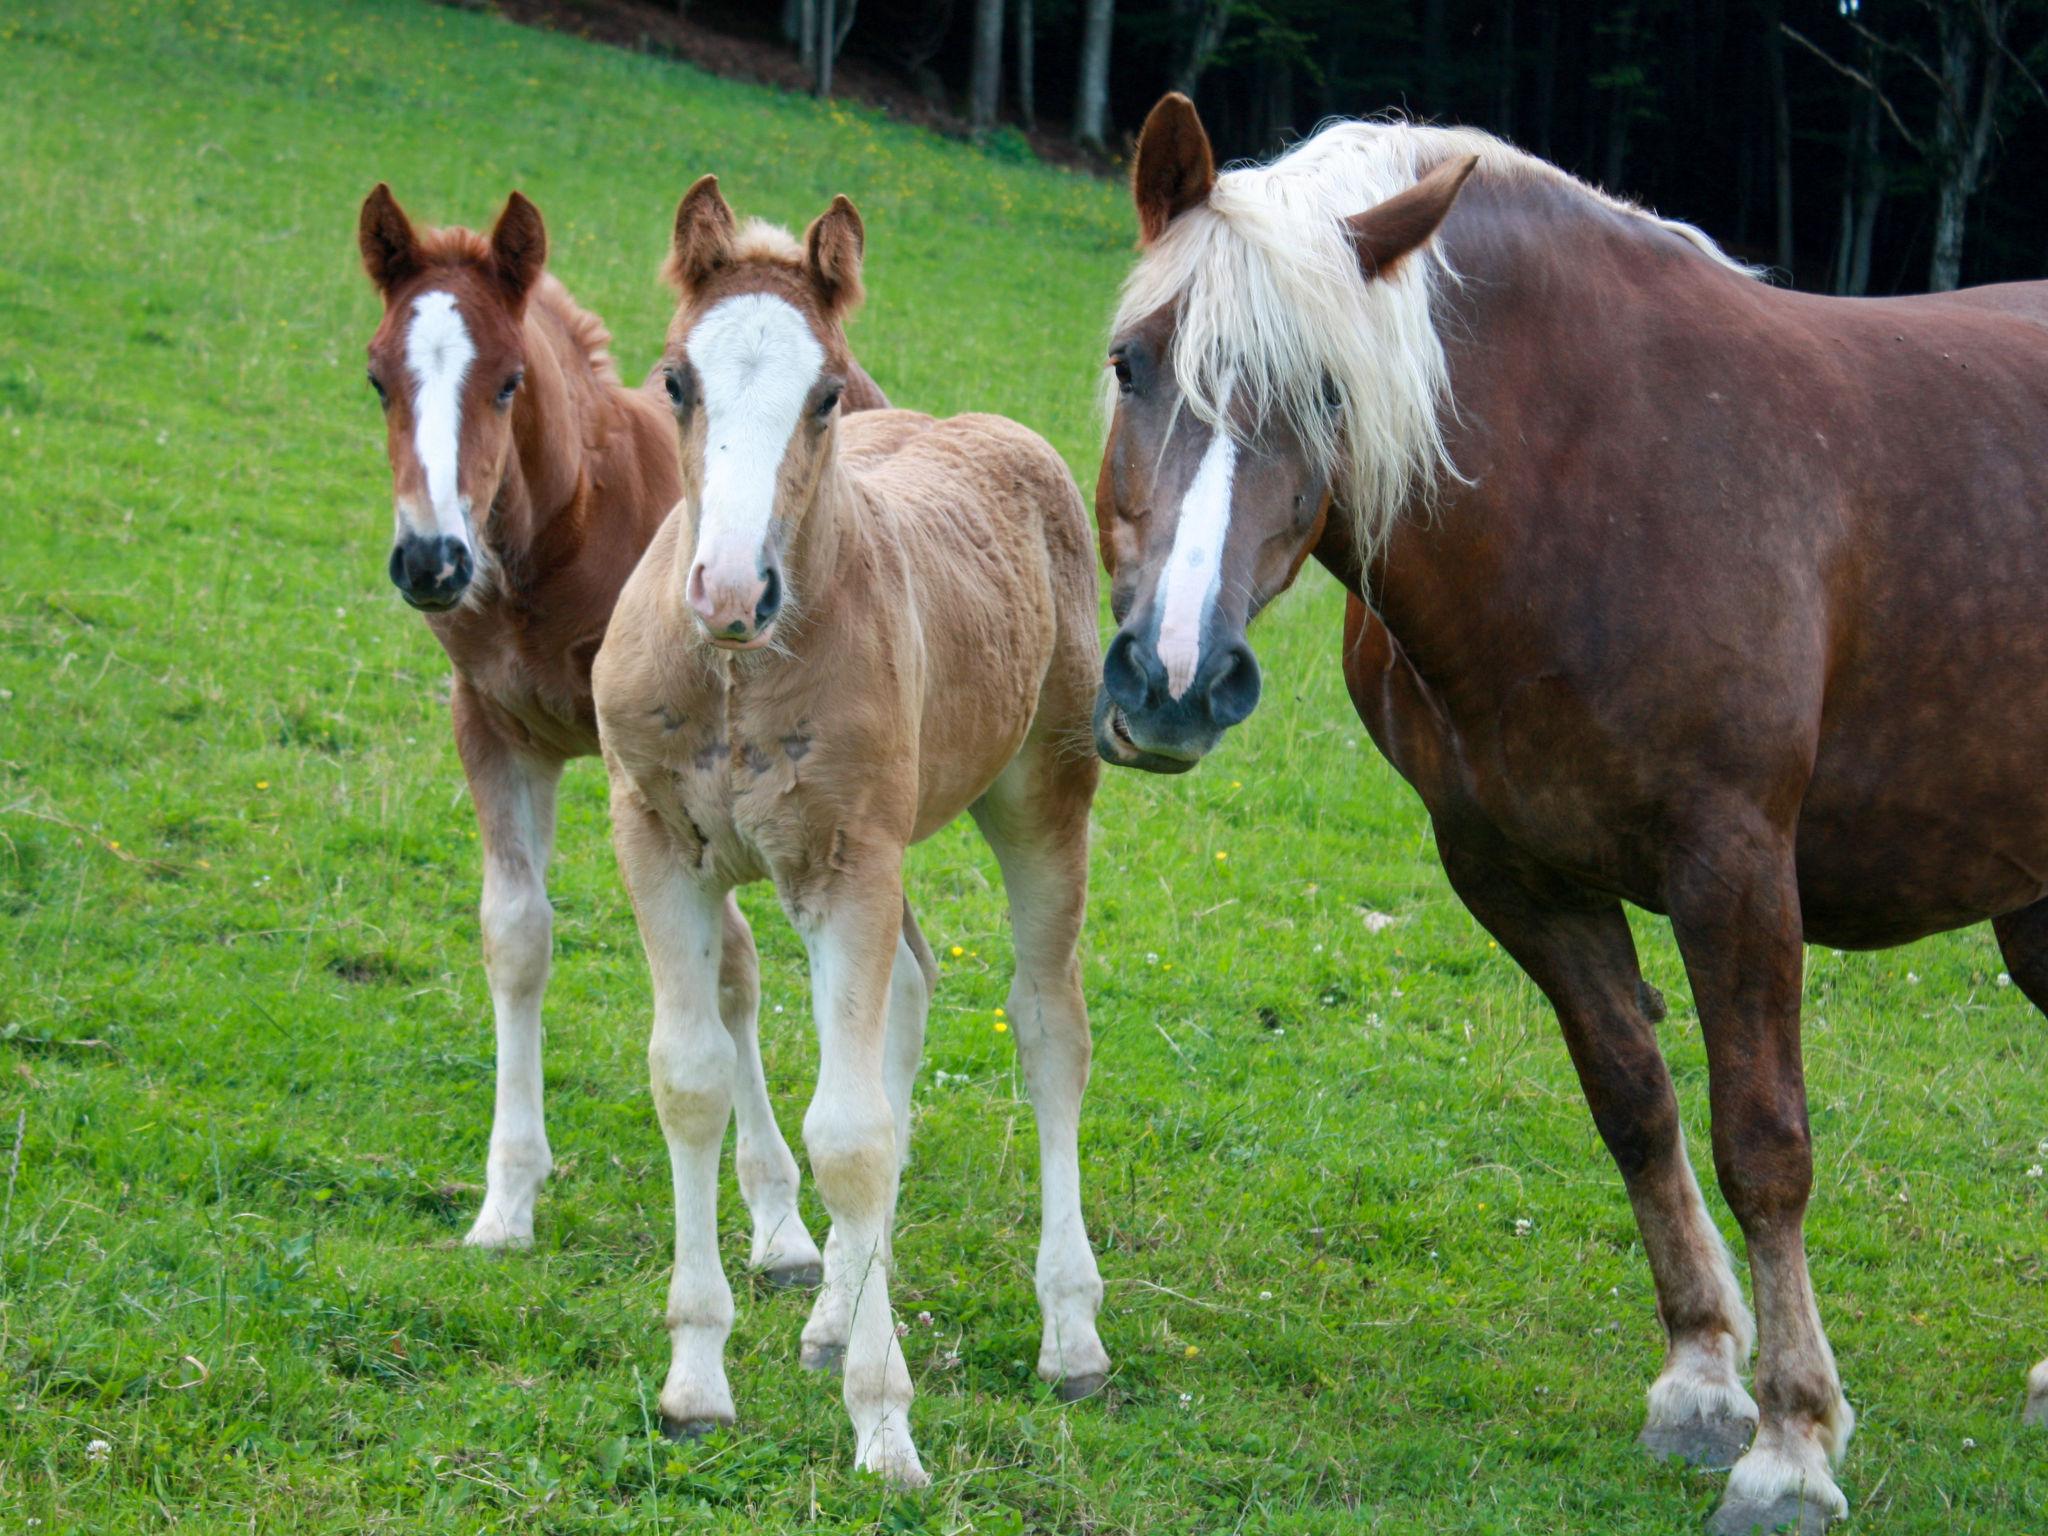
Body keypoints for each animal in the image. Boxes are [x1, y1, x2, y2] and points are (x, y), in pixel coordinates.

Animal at [356, 186, 884, 1261]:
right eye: (377, 378)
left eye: (510, 382)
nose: (431, 559)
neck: (557, 540)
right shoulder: (493, 730)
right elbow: (517, 934)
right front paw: (507, 1199)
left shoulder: (669, 779)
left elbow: (732, 972)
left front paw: (780, 1221)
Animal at [593, 180, 1105, 1490]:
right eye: (675, 378)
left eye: (823, 393)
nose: (731, 589)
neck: (736, 671)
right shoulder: (658, 842)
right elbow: (690, 1081)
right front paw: (694, 1378)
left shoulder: (848, 860)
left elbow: (854, 1137)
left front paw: (885, 1426)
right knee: (914, 990)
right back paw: (830, 1311)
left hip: (1042, 793)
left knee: (1047, 1026)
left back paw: (1071, 1332)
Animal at [1097, 96, 2048, 1536]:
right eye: (1132, 362)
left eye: (1328, 392)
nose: (1172, 679)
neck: (1586, 478)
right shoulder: (1514, 872)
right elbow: (1636, 1107)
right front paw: (1702, 1386)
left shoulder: (1733, 867)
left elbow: (1762, 1146)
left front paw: (1791, 1444)